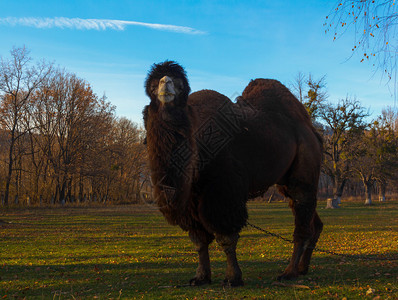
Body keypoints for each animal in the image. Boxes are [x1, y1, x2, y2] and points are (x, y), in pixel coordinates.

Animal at [143, 60, 324, 286]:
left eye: (179, 84)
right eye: (152, 85)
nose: (165, 82)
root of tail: (312, 131)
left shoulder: (223, 191)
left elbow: (226, 237)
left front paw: (232, 278)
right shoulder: (190, 199)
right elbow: (199, 240)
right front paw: (201, 277)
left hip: (305, 163)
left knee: (301, 212)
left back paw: (289, 272)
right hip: (285, 181)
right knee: (310, 219)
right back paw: (301, 268)